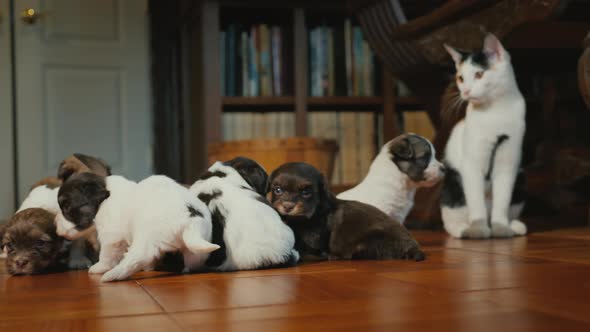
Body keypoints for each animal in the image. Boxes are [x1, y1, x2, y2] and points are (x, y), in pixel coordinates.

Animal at [54, 172, 217, 282]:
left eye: (67, 207)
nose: (55, 226)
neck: (104, 197)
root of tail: (191, 219)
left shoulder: (111, 237)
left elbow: (106, 256)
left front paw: (99, 267)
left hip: (145, 235)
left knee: (140, 256)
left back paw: (113, 275)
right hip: (197, 247)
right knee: (195, 259)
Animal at [268, 163, 426, 262]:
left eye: (306, 192)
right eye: (278, 190)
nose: (288, 206)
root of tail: (412, 246)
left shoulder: (314, 242)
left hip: (368, 242)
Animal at [442, 33, 528, 239]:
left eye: (479, 74)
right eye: (461, 78)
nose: (465, 91)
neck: (495, 112)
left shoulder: (508, 163)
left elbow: (502, 200)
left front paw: (501, 228)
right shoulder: (471, 165)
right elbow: (476, 203)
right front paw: (478, 228)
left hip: (520, 183)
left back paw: (514, 226)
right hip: (453, 186)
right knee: (450, 220)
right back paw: (463, 229)